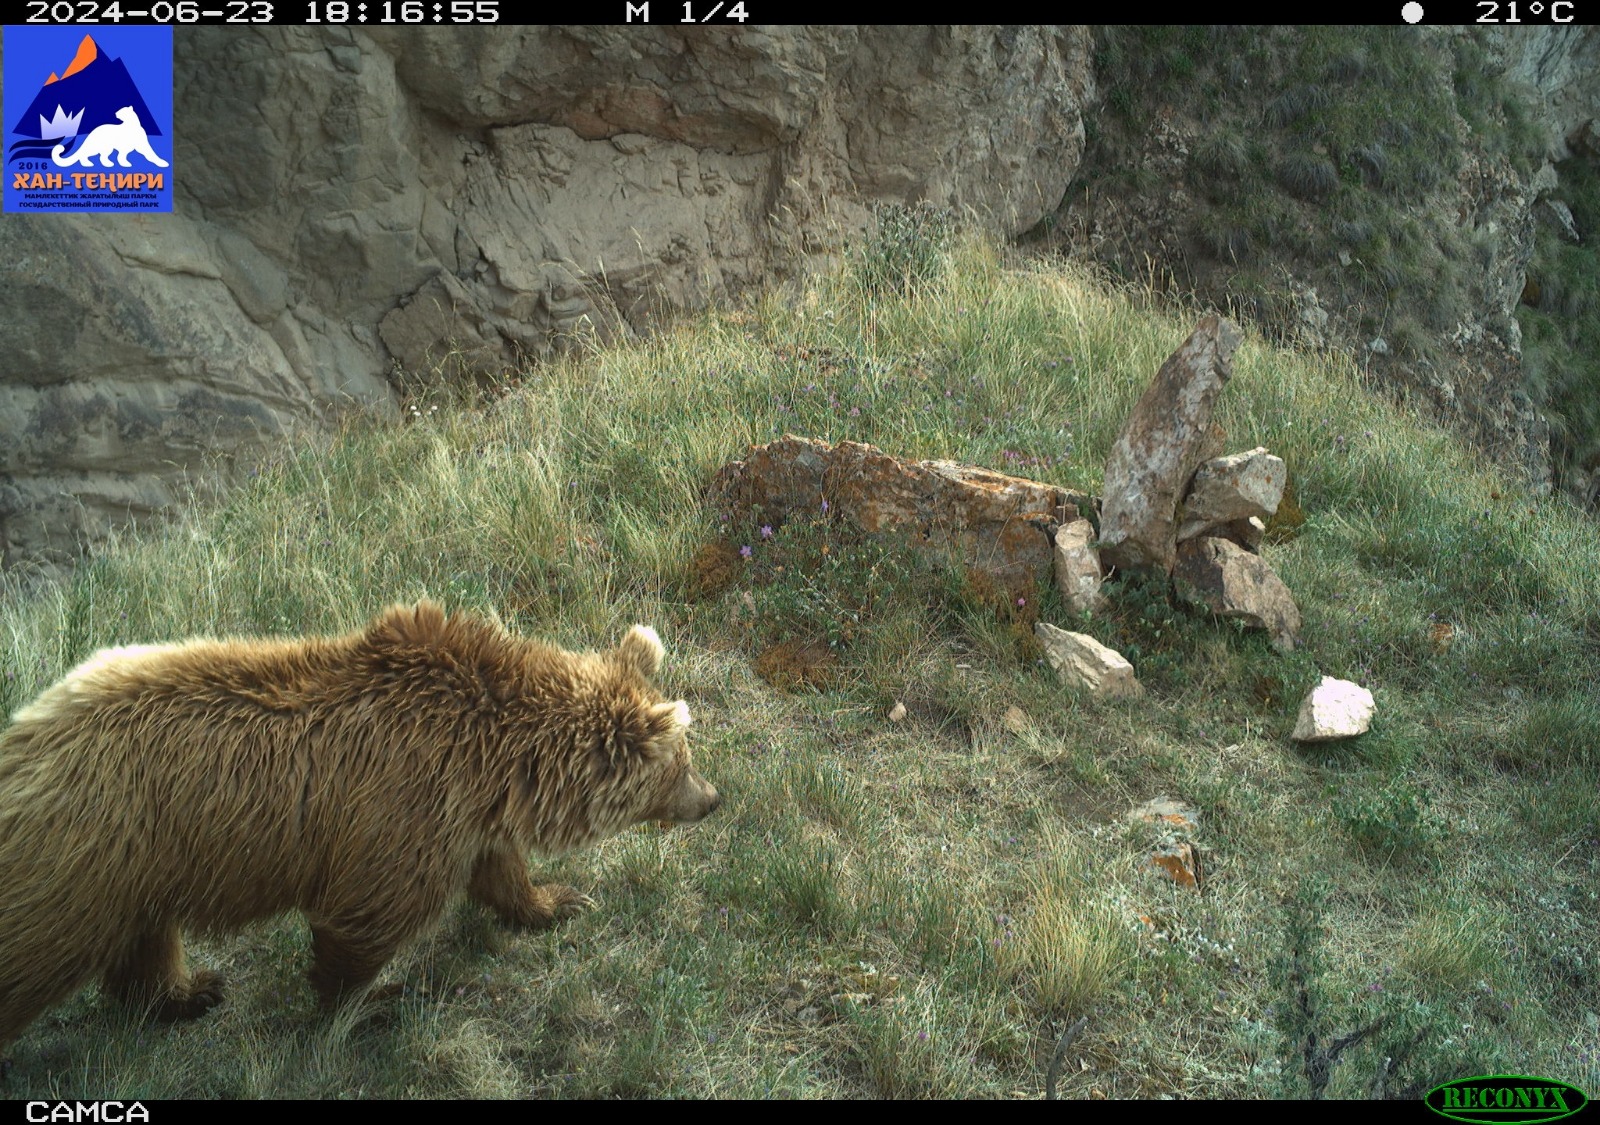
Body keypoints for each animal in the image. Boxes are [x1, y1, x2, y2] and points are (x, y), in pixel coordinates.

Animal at [0, 601, 719, 1054]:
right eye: (681, 760)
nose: (712, 799)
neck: (498, 759)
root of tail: (25, 739)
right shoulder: (401, 811)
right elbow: (365, 921)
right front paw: (367, 1003)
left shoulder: (461, 816)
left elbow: (500, 869)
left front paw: (556, 901)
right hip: (84, 860)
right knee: (34, 957)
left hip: (138, 862)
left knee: (145, 936)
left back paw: (190, 990)